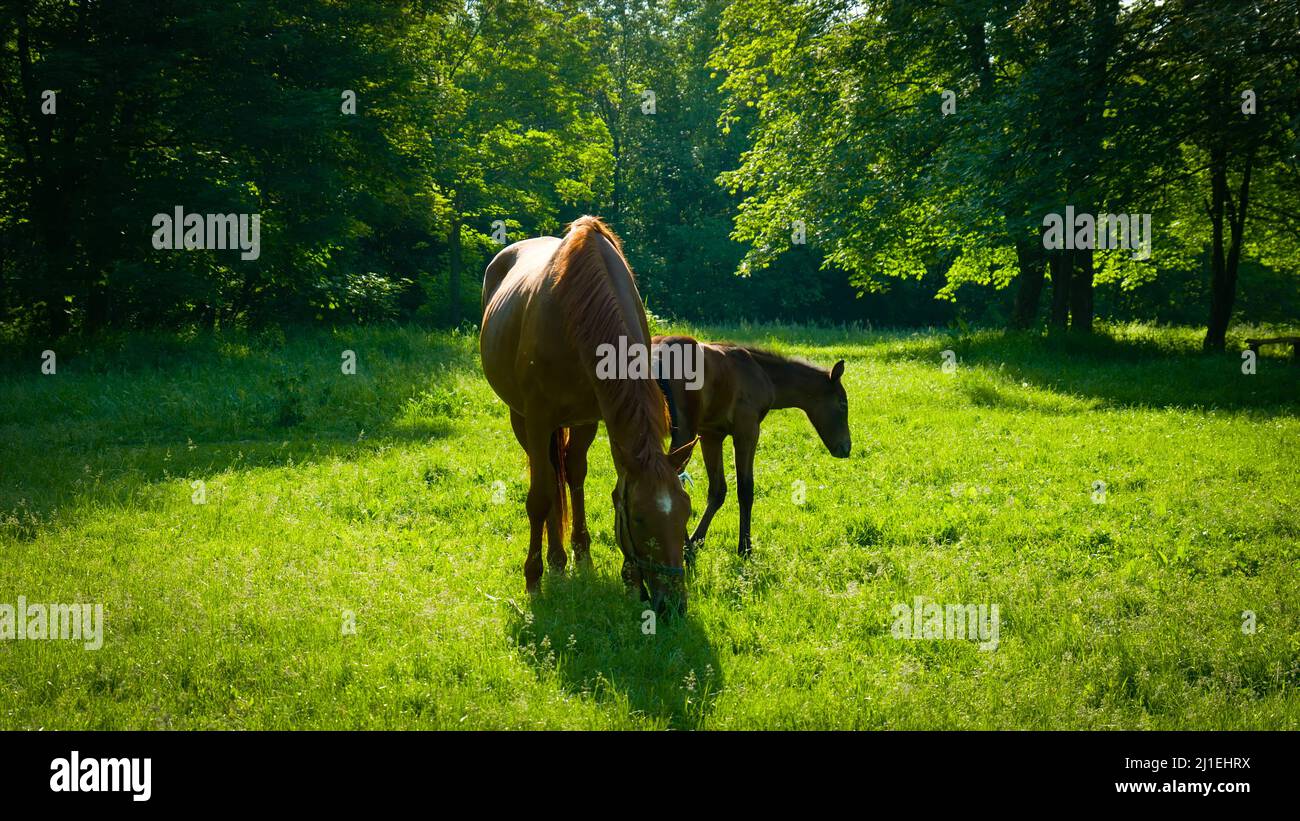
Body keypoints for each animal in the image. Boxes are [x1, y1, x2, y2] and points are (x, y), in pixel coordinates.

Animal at [480, 217, 697, 615]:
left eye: (685, 513)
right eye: (639, 518)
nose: (673, 605)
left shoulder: (598, 417)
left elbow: (584, 481)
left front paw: (622, 574)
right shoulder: (538, 418)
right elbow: (539, 497)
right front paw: (533, 579)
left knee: (570, 471)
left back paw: (573, 556)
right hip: (522, 419)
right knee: (549, 479)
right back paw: (553, 560)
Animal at [650, 335, 851, 562]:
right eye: (843, 404)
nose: (846, 447)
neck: (763, 373)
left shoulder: (711, 434)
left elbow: (718, 491)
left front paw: (696, 541)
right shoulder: (747, 430)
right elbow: (745, 489)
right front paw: (745, 548)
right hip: (684, 432)